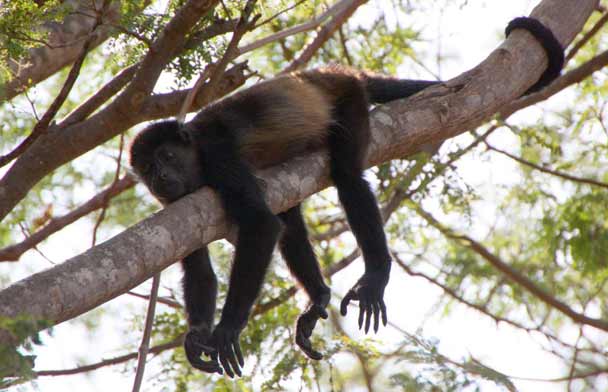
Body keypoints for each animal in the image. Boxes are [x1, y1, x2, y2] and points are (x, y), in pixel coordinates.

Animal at [128, 16, 564, 378]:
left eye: (167, 157)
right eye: (147, 169)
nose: (161, 176)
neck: (196, 154)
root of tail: (337, 71)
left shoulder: (218, 152)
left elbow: (260, 224)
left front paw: (227, 327)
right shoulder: (173, 206)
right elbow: (200, 265)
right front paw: (198, 334)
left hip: (349, 99)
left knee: (347, 179)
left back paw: (376, 274)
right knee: (290, 218)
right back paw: (318, 296)